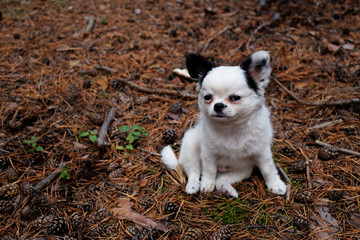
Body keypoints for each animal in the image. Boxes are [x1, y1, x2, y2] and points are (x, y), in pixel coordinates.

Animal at [162, 50, 286, 197]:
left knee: (220, 180)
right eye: (207, 97)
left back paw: (228, 190)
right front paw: (206, 184)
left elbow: (268, 169)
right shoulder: (209, 153)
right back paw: (193, 186)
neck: (231, 127)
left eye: (235, 98)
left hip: (242, 170)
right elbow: (209, 170)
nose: (218, 105)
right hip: (191, 146)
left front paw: (275, 185)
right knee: (194, 171)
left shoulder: (262, 152)